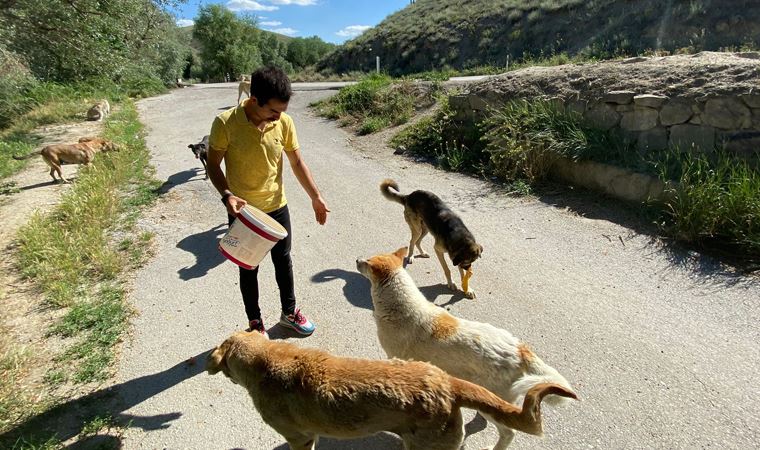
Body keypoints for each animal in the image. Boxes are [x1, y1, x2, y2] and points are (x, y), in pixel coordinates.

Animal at [356, 248, 576, 448]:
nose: (357, 259)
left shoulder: (395, 357)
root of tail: (520, 349)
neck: (401, 306)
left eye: (367, 261)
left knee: (509, 432)